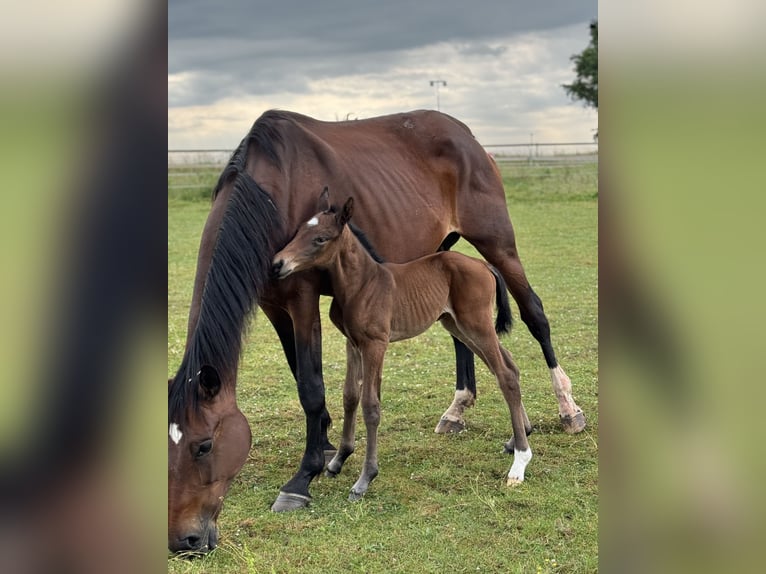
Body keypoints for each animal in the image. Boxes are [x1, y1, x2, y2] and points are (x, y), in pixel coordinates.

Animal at [272, 190, 535, 500]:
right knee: (510, 366)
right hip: (458, 326)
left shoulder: (375, 344)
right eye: (300, 231)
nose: (278, 264)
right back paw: (517, 438)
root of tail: (484, 264)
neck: (362, 284)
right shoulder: (353, 343)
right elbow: (350, 396)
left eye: (321, 238)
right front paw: (338, 460)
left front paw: (364, 478)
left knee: (505, 375)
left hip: (476, 325)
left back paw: (520, 462)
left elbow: (370, 405)